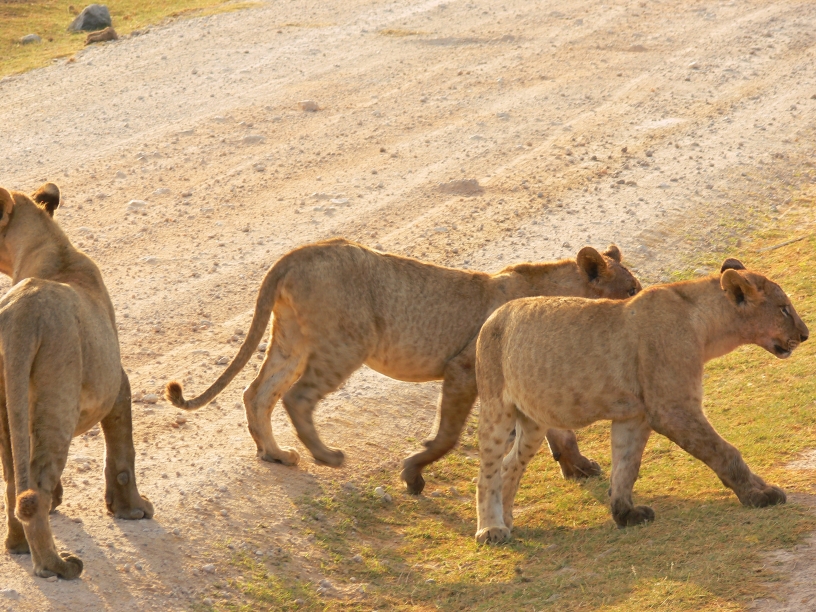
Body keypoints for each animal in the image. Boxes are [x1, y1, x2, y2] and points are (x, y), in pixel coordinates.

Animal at [0, 184, 153, 579]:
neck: (51, 247)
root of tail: (22, 315)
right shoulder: (117, 382)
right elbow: (123, 452)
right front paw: (132, 510)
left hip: (8, 403)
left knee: (14, 479)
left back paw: (19, 546)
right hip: (59, 401)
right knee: (36, 481)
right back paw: (55, 564)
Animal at [166, 238, 641, 493]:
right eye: (631, 290)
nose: (644, 304)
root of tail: (295, 253)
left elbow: (560, 431)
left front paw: (578, 467)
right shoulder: (462, 369)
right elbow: (446, 437)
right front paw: (413, 475)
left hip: (291, 341)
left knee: (257, 392)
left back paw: (275, 454)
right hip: (346, 343)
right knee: (297, 397)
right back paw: (326, 456)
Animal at [474, 259, 808, 544]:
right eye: (783, 309)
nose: (805, 334)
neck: (705, 325)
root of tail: (493, 316)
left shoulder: (634, 416)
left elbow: (626, 466)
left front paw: (625, 514)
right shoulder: (672, 408)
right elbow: (725, 452)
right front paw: (758, 495)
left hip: (533, 422)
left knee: (510, 464)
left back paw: (508, 519)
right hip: (495, 408)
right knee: (487, 471)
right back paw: (491, 530)